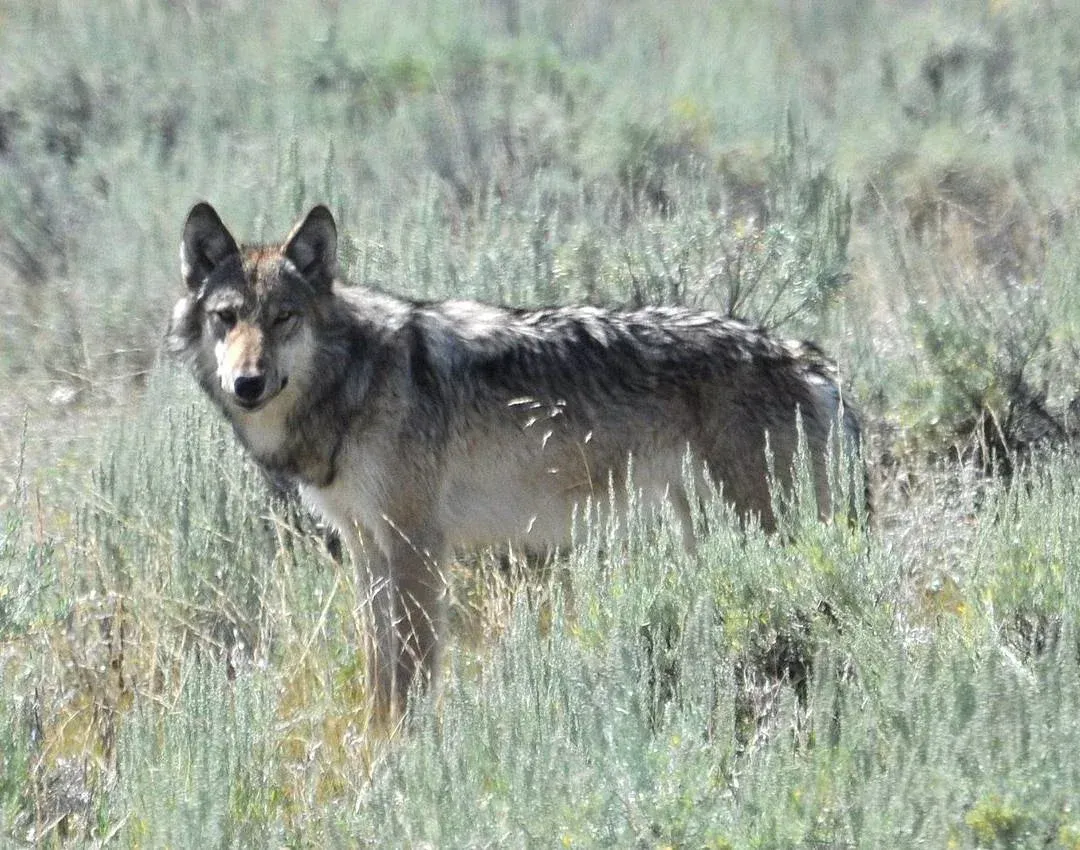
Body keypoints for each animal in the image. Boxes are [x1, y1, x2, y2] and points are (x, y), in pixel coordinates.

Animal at [168, 202, 864, 713]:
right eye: (228, 318)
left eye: (283, 318)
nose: (247, 384)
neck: (355, 381)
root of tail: (809, 361)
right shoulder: (367, 548)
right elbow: (379, 672)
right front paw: (374, 743)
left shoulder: (418, 545)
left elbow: (413, 676)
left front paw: (403, 762)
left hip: (763, 528)